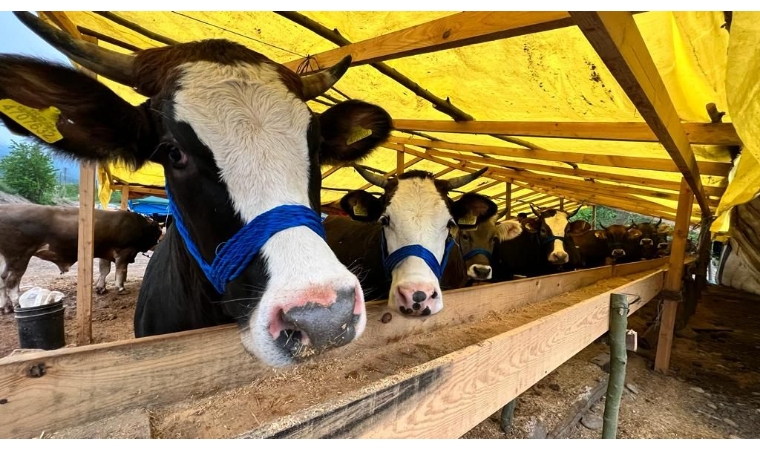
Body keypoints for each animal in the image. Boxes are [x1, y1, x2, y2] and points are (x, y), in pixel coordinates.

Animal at [0, 204, 162, 312]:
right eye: (158, 230)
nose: (160, 239)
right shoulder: (124, 251)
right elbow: (121, 271)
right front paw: (121, 288)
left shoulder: (105, 253)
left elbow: (104, 270)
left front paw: (101, 288)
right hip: (19, 256)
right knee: (11, 281)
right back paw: (17, 304)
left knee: (2, 279)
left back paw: (5, 306)